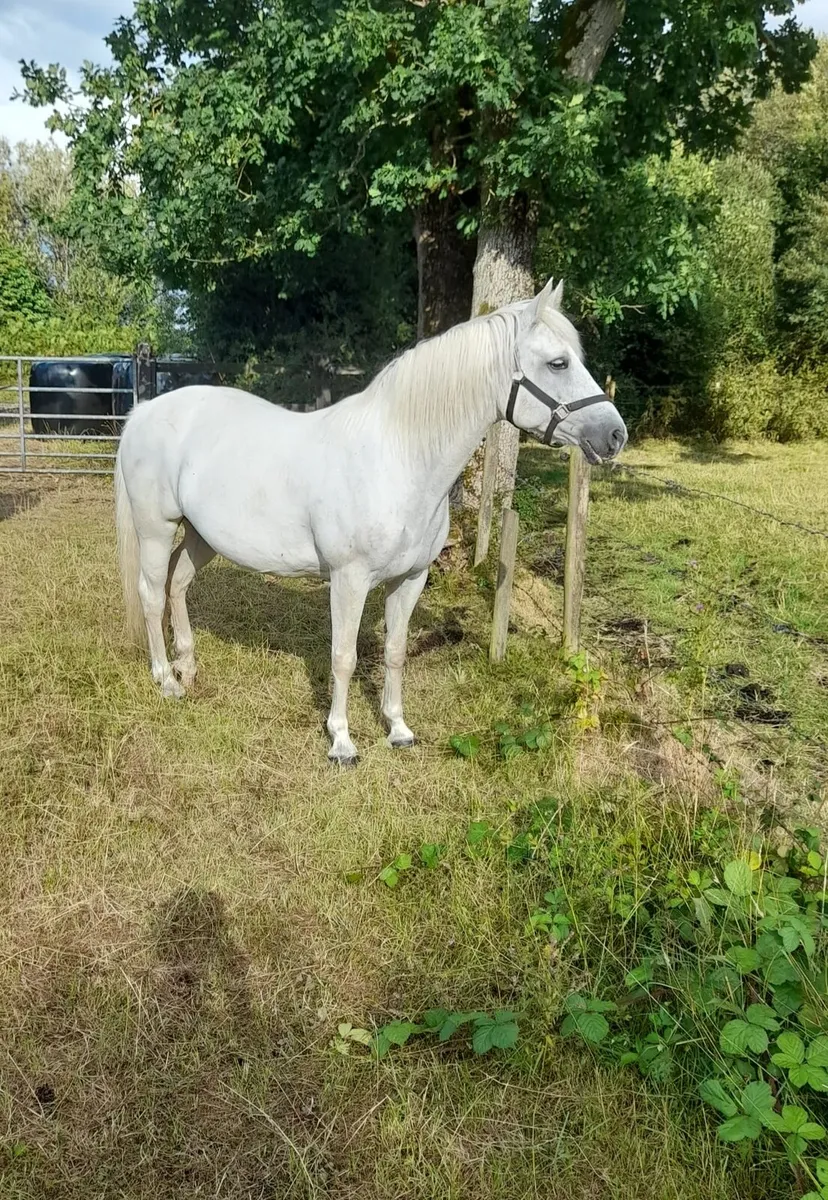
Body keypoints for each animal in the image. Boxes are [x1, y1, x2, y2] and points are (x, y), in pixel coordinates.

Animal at [114, 278, 627, 765]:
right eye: (558, 363)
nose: (615, 435)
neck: (398, 457)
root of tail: (146, 411)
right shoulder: (349, 579)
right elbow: (344, 656)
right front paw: (341, 742)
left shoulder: (411, 578)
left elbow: (395, 652)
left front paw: (398, 729)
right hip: (156, 528)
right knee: (151, 594)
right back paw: (166, 680)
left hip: (202, 535)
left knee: (178, 584)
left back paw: (187, 667)